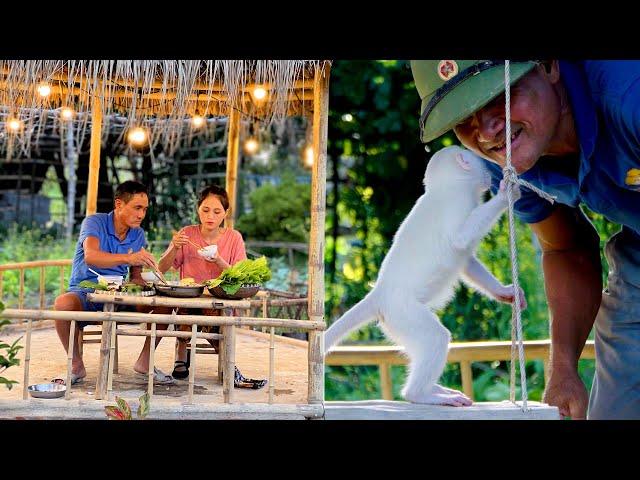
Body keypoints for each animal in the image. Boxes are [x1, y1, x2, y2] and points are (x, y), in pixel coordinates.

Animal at [324, 145, 524, 404]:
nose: (490, 174)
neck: (446, 185)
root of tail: (379, 294)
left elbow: (466, 260)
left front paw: (504, 292)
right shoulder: (457, 201)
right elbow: (461, 239)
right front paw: (505, 194)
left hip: (396, 323)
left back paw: (435, 389)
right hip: (403, 313)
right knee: (435, 338)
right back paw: (422, 394)